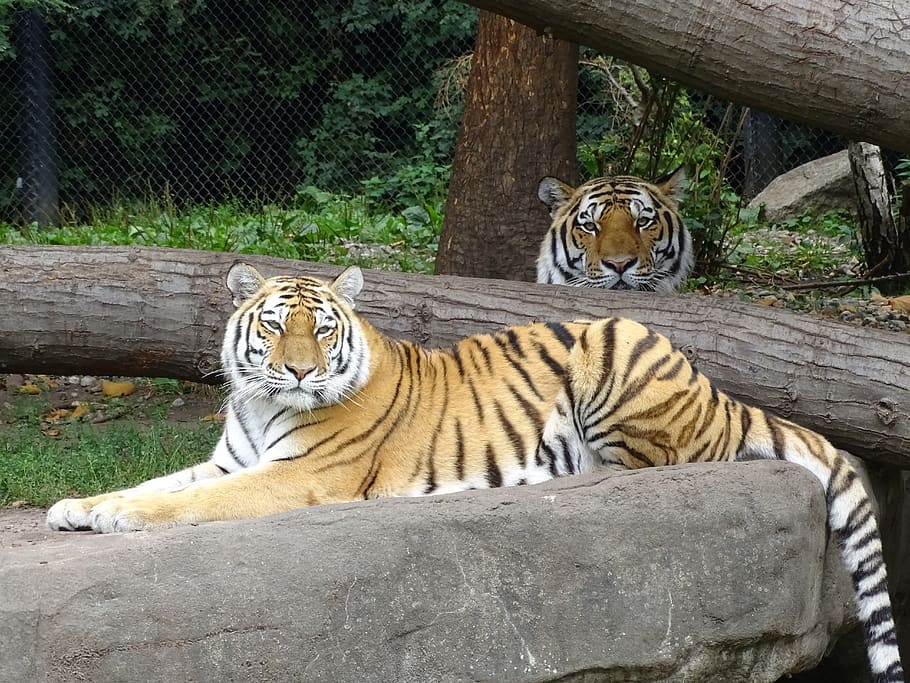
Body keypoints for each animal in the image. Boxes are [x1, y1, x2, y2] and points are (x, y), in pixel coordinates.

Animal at [47, 263, 902, 682]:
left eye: (321, 329)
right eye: (275, 325)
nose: (298, 370)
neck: (259, 403)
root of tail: (714, 384)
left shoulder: (296, 475)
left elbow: (190, 503)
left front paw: (119, 519)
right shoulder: (228, 456)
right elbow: (161, 483)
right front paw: (76, 505)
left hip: (616, 351)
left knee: (670, 461)